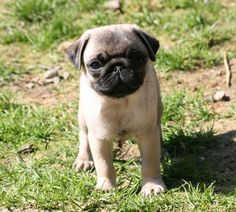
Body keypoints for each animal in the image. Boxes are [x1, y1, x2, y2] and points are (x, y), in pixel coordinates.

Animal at [66, 23, 166, 195]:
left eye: (137, 58)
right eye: (95, 64)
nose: (118, 67)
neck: (119, 102)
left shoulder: (147, 135)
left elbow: (150, 163)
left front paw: (151, 185)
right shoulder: (100, 138)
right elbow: (104, 164)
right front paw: (106, 186)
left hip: (158, 108)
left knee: (157, 125)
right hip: (83, 116)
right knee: (84, 135)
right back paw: (84, 160)